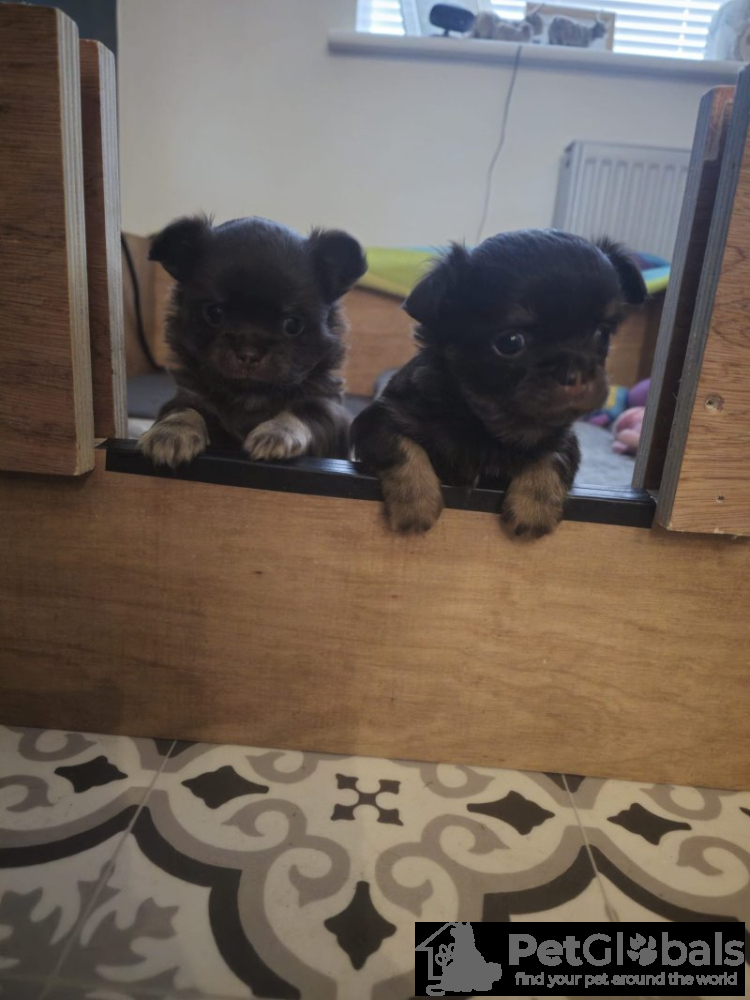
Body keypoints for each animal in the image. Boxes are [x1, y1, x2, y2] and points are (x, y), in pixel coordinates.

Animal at [138, 215, 366, 468]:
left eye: (293, 324)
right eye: (214, 314)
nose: (249, 353)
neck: (251, 395)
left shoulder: (330, 411)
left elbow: (305, 412)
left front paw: (278, 431)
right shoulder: (189, 395)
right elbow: (184, 409)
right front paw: (171, 432)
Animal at [352, 229, 646, 537]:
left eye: (603, 334)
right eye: (510, 342)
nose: (575, 374)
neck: (489, 423)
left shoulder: (562, 436)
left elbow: (555, 455)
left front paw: (535, 506)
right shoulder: (382, 416)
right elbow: (400, 446)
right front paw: (416, 502)